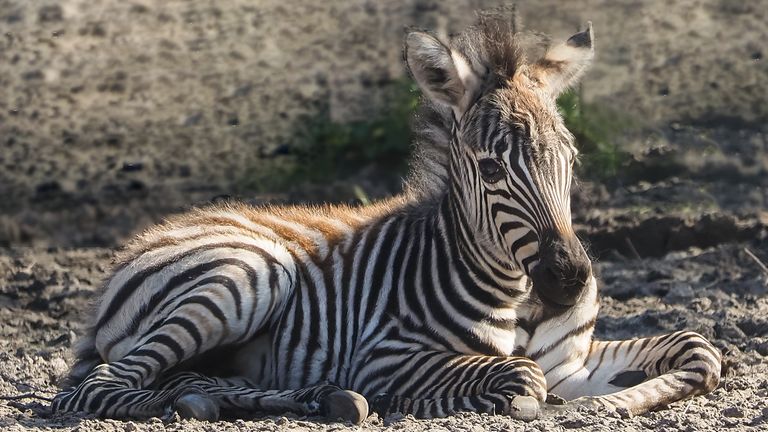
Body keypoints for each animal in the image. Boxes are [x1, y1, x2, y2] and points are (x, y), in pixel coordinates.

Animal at [52, 13, 720, 426]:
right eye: (489, 168)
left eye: (571, 161)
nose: (569, 282)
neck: (520, 294)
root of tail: (138, 244)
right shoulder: (387, 354)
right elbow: (521, 377)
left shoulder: (573, 364)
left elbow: (699, 349)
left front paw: (619, 401)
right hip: (247, 275)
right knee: (104, 385)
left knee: (171, 380)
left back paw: (300, 398)